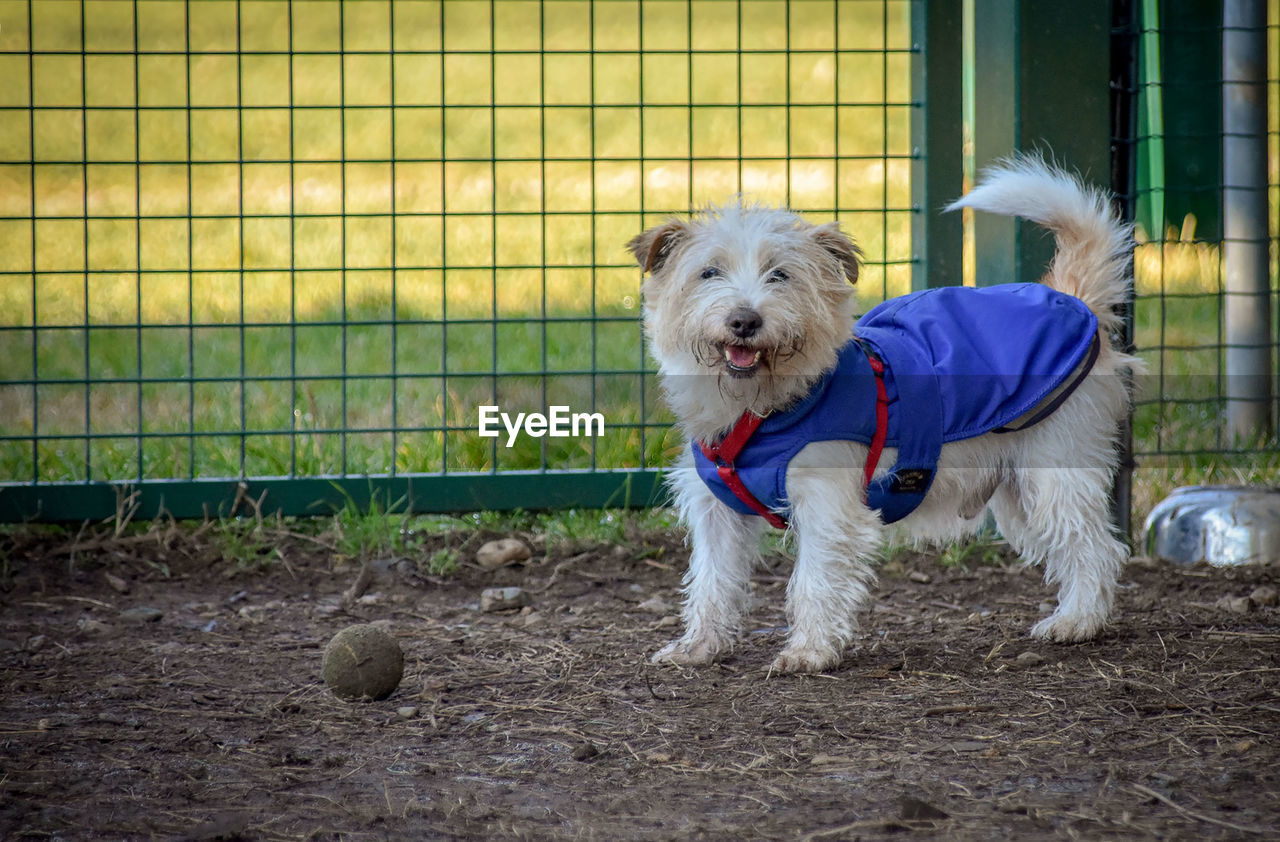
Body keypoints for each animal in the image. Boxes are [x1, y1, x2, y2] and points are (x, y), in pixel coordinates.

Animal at [629, 154, 1141, 670]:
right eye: (709, 272)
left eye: (780, 275)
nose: (744, 320)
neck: (762, 410)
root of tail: (1073, 299)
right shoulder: (717, 512)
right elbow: (712, 581)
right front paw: (700, 646)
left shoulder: (827, 505)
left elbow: (814, 581)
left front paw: (808, 652)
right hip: (1018, 493)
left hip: (1055, 477)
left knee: (1098, 548)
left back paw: (1078, 622)